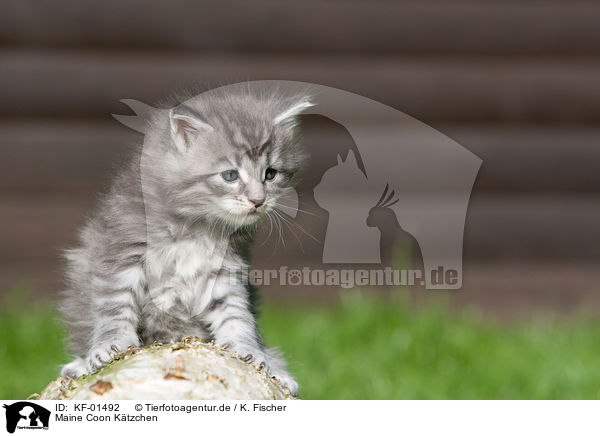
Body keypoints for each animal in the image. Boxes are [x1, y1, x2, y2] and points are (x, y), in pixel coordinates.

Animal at [59, 89, 314, 396]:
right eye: (230, 175)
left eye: (271, 173)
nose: (258, 200)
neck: (195, 226)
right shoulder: (122, 250)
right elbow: (115, 306)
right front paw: (108, 347)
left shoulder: (224, 270)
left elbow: (236, 313)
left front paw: (248, 349)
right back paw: (78, 364)